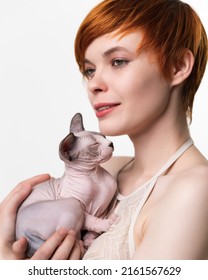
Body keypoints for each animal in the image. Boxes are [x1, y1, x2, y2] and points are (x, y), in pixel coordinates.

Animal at [15, 112, 117, 258]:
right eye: (94, 145)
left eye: (104, 136)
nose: (111, 143)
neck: (94, 176)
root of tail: (23, 235)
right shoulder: (80, 205)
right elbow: (92, 220)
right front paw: (107, 224)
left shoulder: (103, 208)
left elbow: (93, 225)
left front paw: (90, 239)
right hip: (72, 204)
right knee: (75, 237)